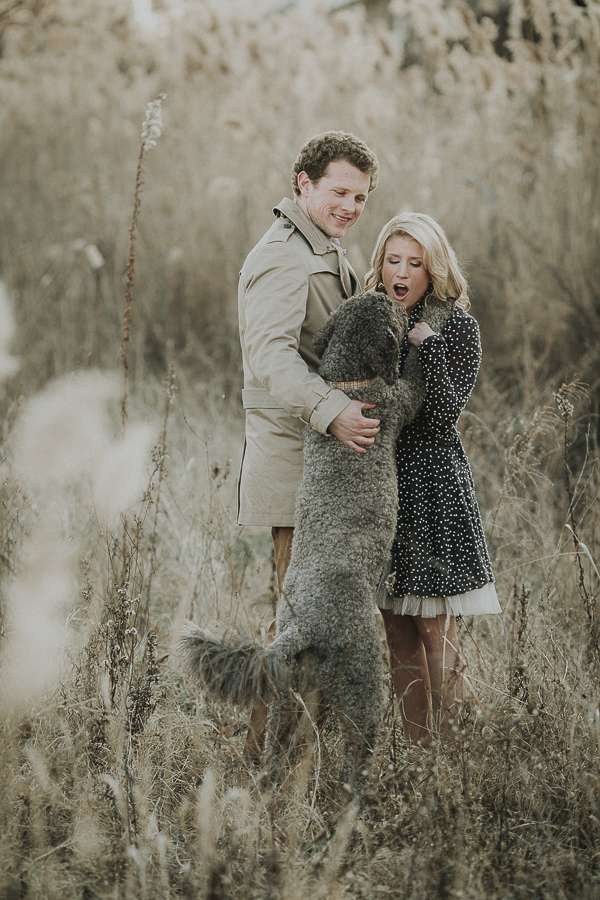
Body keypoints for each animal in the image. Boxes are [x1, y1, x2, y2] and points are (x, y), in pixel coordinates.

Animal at [180, 288, 452, 796]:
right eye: (388, 310)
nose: (386, 290)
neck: (350, 383)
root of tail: (303, 627)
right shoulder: (403, 398)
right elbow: (416, 368)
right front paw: (436, 315)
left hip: (289, 696)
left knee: (274, 753)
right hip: (363, 685)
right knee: (355, 754)